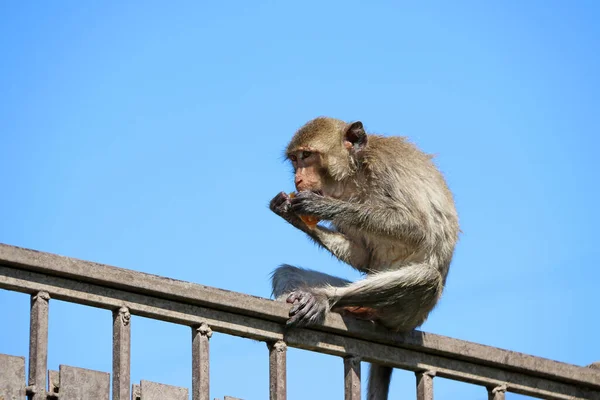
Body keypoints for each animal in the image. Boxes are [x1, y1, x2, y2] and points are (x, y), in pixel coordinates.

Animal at [268, 117, 460, 400]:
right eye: (294, 159)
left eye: (307, 156)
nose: (298, 178)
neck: (354, 172)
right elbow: (362, 254)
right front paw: (287, 210)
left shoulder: (386, 168)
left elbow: (418, 228)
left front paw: (321, 206)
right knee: (287, 273)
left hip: (408, 314)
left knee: (427, 277)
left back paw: (324, 298)